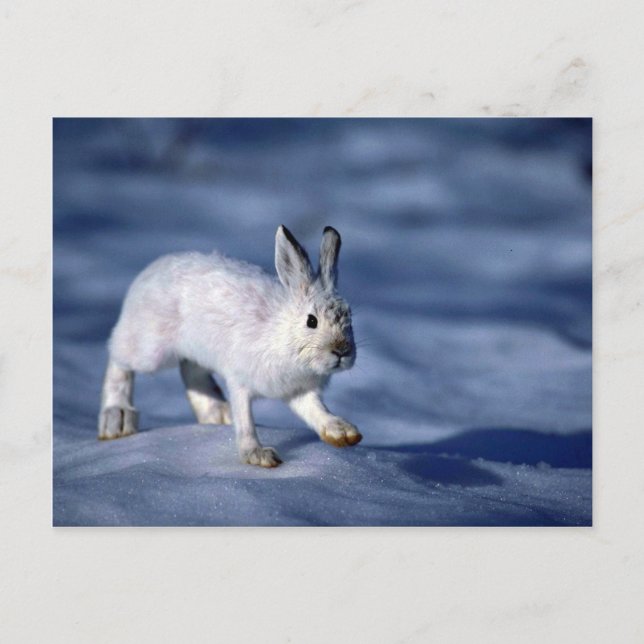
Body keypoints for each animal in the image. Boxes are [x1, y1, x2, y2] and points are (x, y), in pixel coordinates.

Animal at [98, 225, 361, 467]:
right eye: (311, 321)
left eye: (349, 317)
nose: (342, 351)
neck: (282, 333)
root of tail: (146, 275)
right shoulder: (240, 381)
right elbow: (245, 421)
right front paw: (258, 455)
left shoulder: (297, 390)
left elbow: (315, 410)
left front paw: (343, 433)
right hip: (150, 349)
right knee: (118, 357)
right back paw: (117, 419)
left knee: (191, 371)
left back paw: (217, 414)